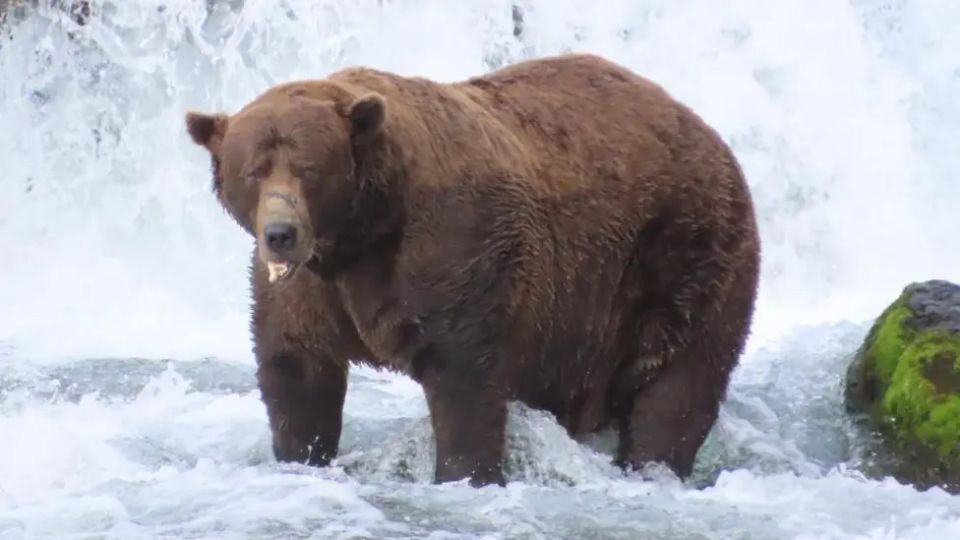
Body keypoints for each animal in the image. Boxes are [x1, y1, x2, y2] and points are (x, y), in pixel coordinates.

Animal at [184, 53, 761, 487]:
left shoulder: (454, 249)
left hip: (683, 254)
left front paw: (465, 473)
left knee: (678, 384)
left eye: (309, 168)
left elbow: (464, 378)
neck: (360, 235)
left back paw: (652, 464)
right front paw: (301, 454)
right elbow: (297, 369)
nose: (281, 233)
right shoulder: (309, 290)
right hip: (581, 321)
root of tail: (710, 135)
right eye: (254, 170)